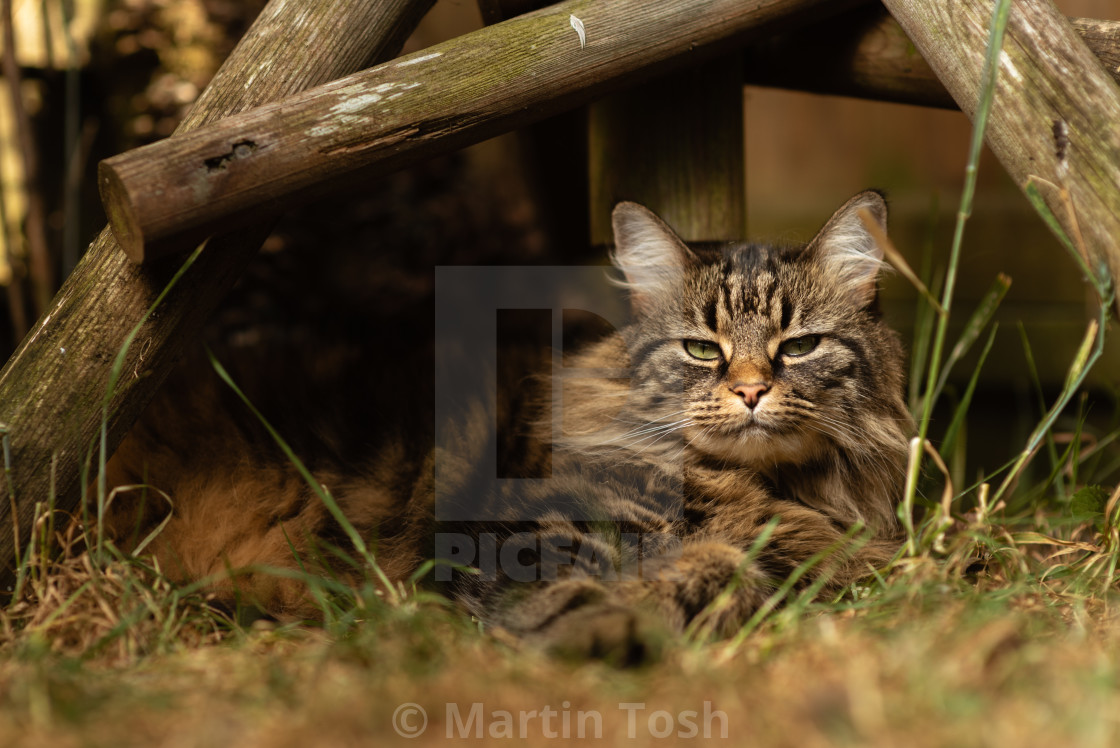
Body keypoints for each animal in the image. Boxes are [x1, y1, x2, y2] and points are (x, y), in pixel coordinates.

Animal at [100, 190, 913, 658]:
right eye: (701, 349)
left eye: (797, 347)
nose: (749, 391)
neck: (765, 487)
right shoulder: (530, 534)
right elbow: (703, 566)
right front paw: (593, 629)